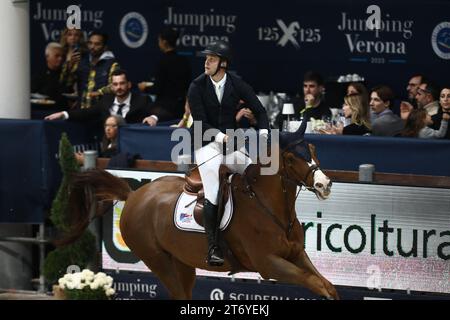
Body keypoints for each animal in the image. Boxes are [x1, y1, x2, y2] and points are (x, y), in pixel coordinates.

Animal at [66, 130, 338, 300]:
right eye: (291, 158)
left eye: (313, 148)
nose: (324, 184)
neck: (269, 208)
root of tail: (133, 195)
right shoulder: (268, 263)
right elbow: (315, 283)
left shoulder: (296, 254)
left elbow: (327, 286)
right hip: (158, 260)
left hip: (182, 261)